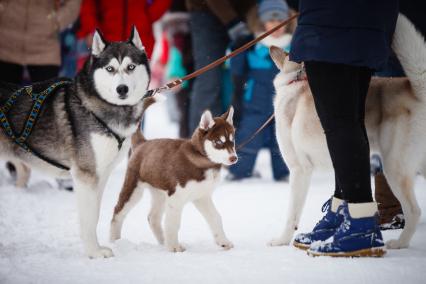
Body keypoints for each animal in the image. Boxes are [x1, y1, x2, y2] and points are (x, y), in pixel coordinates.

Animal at [110, 98, 236, 253]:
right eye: (218, 142)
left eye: (232, 140)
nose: (234, 158)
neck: (203, 161)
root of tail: (143, 143)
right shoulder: (176, 197)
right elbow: (173, 223)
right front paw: (174, 247)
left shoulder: (202, 196)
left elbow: (216, 217)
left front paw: (223, 242)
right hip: (134, 188)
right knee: (118, 212)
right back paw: (114, 241)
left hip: (159, 192)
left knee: (153, 217)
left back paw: (163, 241)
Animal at [270, 15, 426, 251]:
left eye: (288, 52)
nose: (272, 47)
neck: (296, 81)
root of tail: (416, 90)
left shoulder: (299, 169)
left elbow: (291, 215)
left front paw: (281, 240)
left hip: (394, 169)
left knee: (414, 211)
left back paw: (400, 243)